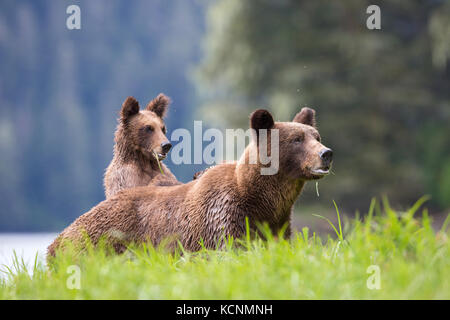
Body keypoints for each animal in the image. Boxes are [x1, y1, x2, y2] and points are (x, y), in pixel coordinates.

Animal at [47, 107, 332, 255]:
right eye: (297, 139)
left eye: (316, 135)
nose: (326, 153)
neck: (261, 198)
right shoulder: (223, 218)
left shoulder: (277, 223)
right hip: (100, 239)